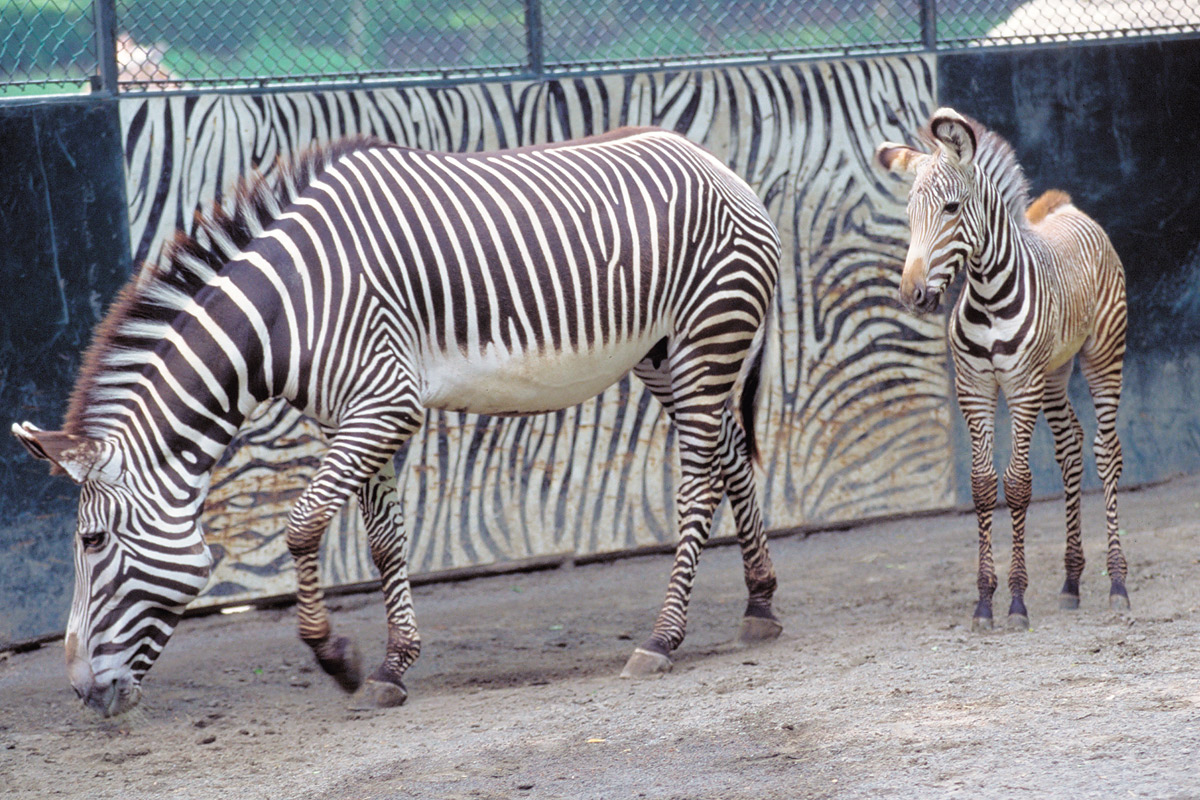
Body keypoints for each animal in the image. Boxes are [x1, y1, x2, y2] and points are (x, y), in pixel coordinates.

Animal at [14, 128, 782, 714]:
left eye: (91, 541)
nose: (82, 692)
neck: (282, 313)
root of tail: (711, 159)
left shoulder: (387, 401)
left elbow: (303, 525)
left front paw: (337, 658)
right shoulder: (357, 417)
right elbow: (383, 544)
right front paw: (393, 665)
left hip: (707, 335)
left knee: (697, 484)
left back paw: (663, 638)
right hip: (667, 353)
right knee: (730, 454)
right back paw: (760, 605)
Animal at [878, 107, 1128, 633]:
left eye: (951, 209)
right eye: (910, 216)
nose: (912, 295)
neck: (989, 296)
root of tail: (1068, 209)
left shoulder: (1020, 387)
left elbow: (1016, 485)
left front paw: (1015, 601)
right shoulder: (974, 388)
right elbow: (981, 485)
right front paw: (984, 602)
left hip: (1102, 355)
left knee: (1106, 451)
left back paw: (1118, 583)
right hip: (1055, 371)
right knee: (1071, 445)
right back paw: (1071, 582)